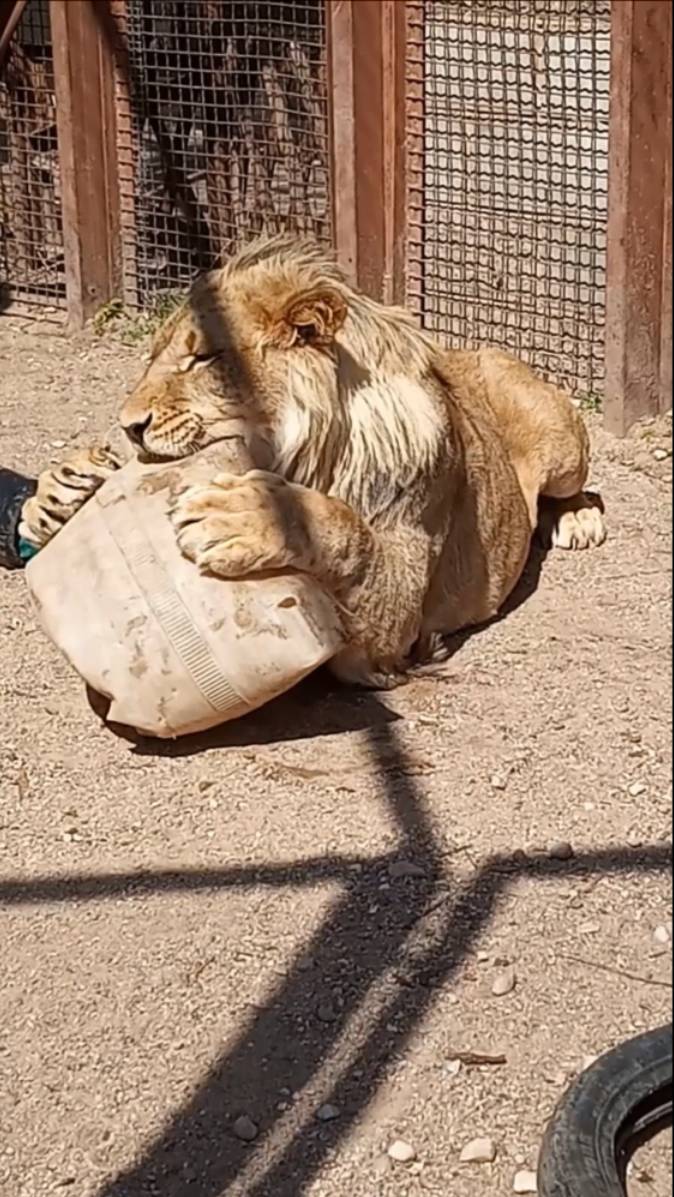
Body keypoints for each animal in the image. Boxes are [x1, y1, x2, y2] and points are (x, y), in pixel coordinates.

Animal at [20, 234, 605, 688]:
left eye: (203, 357)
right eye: (153, 357)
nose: (128, 425)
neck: (306, 458)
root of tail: (477, 348)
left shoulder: (397, 624)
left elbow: (348, 529)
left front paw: (246, 515)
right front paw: (59, 491)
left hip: (562, 444)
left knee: (579, 487)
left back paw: (578, 519)